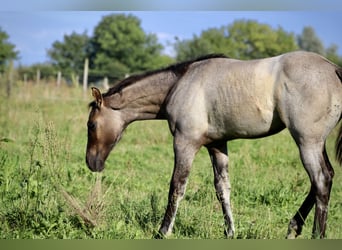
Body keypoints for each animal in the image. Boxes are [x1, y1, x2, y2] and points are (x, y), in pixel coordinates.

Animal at [85, 50, 342, 238]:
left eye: (91, 125)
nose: (92, 163)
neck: (181, 84)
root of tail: (334, 69)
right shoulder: (217, 144)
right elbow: (222, 188)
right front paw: (230, 232)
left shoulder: (185, 142)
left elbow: (177, 187)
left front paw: (163, 231)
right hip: (315, 143)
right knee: (325, 177)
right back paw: (293, 228)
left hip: (306, 142)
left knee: (321, 180)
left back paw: (315, 235)